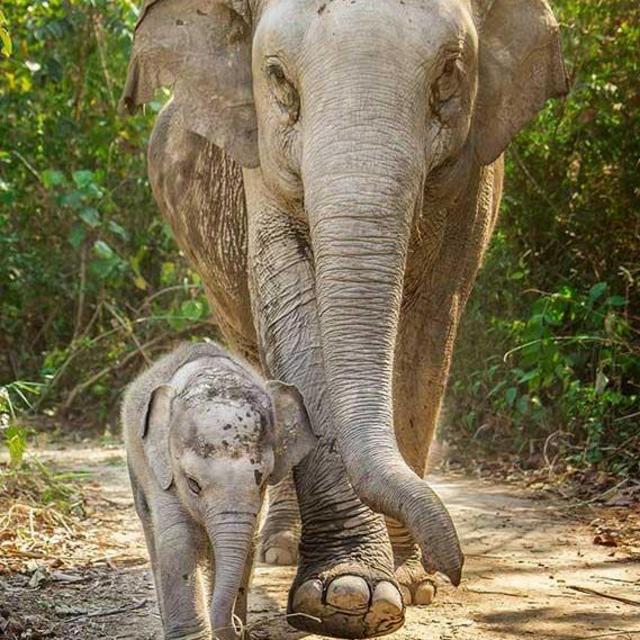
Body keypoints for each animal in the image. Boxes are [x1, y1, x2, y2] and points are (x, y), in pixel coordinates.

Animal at [122, 342, 316, 640]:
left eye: (262, 481)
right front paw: (190, 636)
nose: (237, 626)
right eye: (193, 483)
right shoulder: (162, 474)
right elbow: (179, 539)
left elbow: (248, 542)